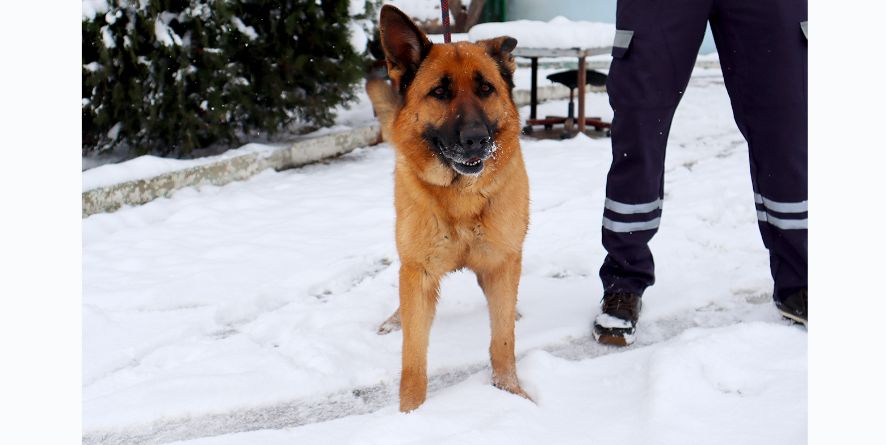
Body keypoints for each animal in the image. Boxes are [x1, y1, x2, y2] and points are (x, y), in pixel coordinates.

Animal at [376, 5, 532, 412]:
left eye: (486, 89)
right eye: (440, 92)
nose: (476, 139)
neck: (461, 198)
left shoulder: (501, 262)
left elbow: (503, 340)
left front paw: (511, 393)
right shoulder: (418, 273)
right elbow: (413, 360)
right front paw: (410, 415)